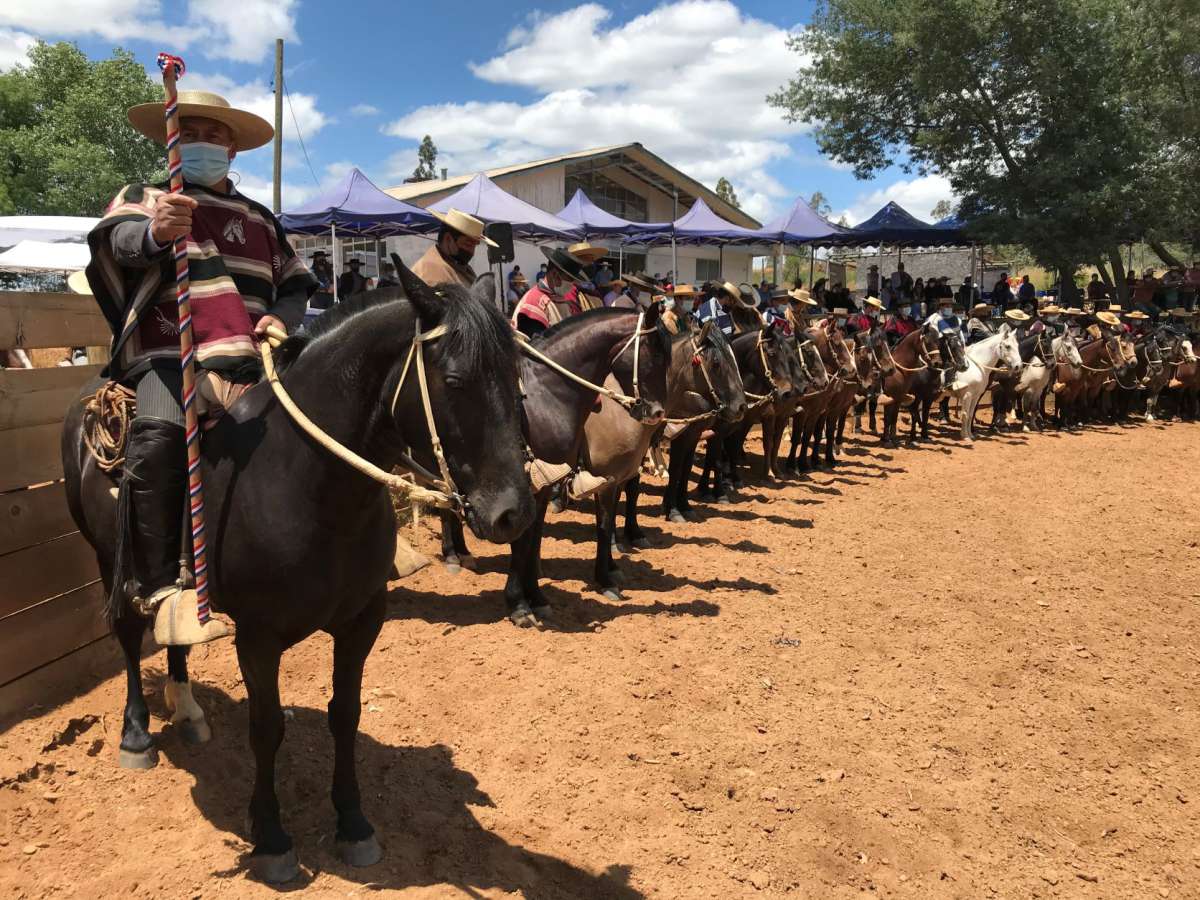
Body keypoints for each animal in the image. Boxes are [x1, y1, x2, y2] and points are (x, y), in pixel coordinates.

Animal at [62, 264, 535, 883]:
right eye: (454, 380)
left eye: (515, 375)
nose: (513, 513)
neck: (308, 483)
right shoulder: (259, 638)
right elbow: (266, 729)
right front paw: (271, 838)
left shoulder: (362, 621)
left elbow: (345, 714)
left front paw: (353, 823)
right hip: (108, 558)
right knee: (125, 632)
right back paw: (137, 734)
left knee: (175, 636)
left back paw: (187, 709)